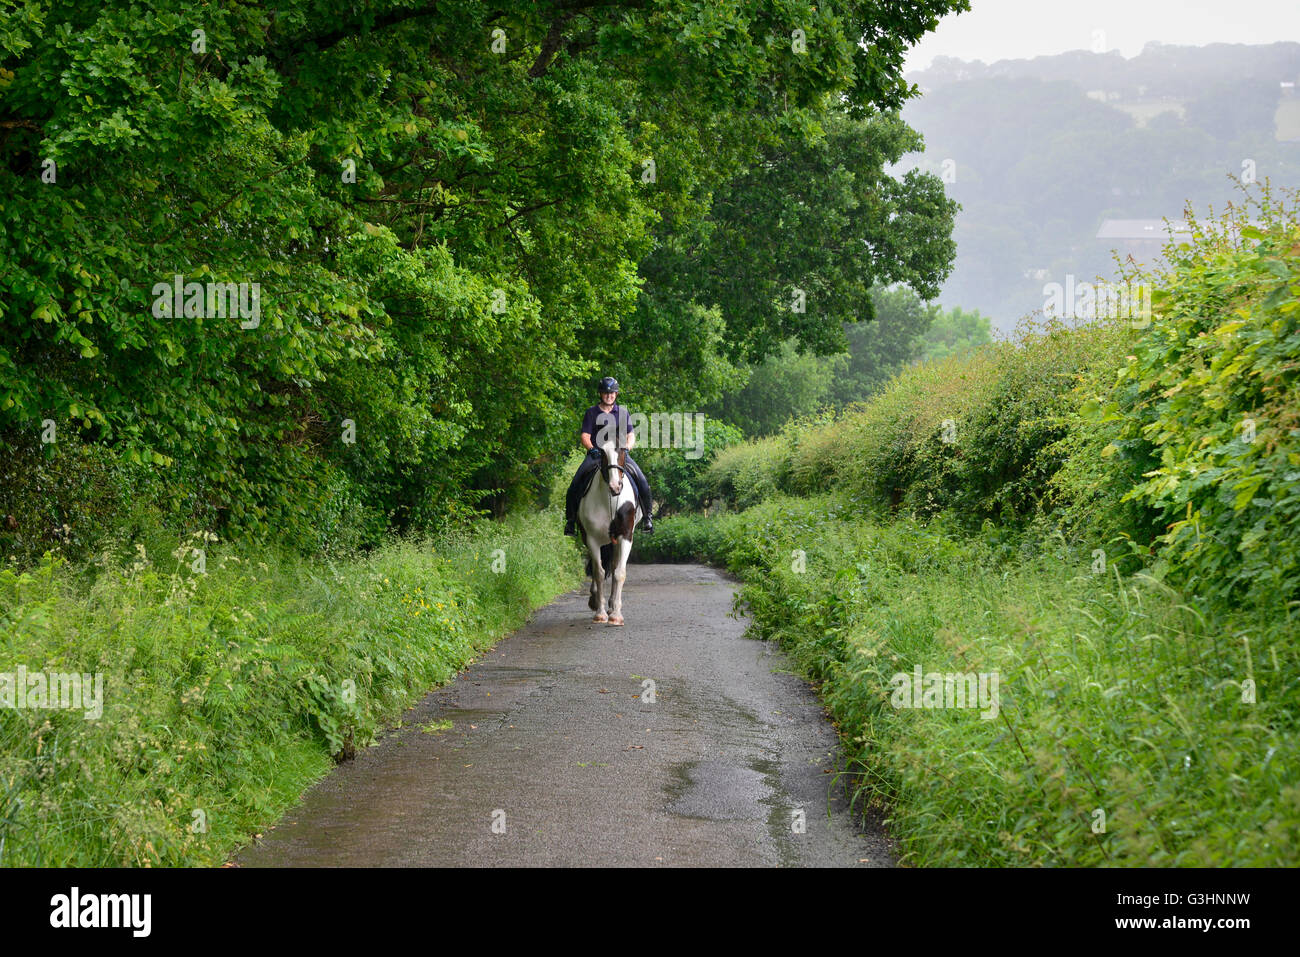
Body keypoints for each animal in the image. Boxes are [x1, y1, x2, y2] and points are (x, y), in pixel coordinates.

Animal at [577, 442, 642, 629]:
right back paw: (595, 600)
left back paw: (612, 606)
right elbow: (598, 572)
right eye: (602, 453)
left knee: (613, 567)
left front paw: (616, 615)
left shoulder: (625, 536)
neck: (610, 500)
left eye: (623, 450)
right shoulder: (592, 539)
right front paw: (600, 613)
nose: (615, 487)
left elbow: (619, 572)